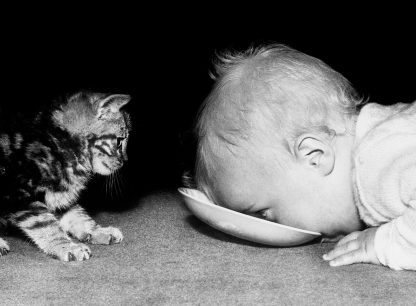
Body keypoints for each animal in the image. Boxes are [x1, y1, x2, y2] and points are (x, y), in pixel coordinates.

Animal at [0, 91, 132, 260]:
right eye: (120, 141)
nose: (125, 161)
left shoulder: (60, 191)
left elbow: (76, 214)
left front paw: (97, 230)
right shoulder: (21, 194)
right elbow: (44, 223)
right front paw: (66, 246)